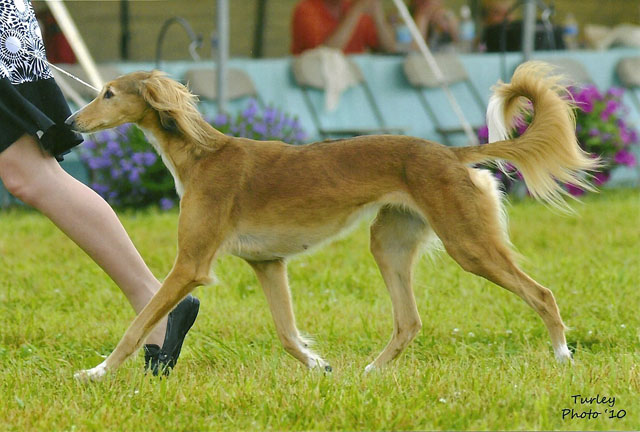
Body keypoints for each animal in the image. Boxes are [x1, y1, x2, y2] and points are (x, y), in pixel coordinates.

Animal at [67, 61, 596, 382]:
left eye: (108, 93)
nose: (71, 123)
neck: (201, 155)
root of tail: (450, 152)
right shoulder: (268, 263)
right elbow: (286, 334)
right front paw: (318, 364)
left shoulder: (190, 264)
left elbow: (137, 325)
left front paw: (97, 372)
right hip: (390, 243)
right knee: (409, 322)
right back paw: (371, 373)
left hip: (470, 245)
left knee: (542, 294)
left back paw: (562, 355)